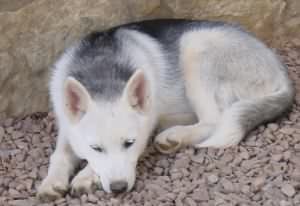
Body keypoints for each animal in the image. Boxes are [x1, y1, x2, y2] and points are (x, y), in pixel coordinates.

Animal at [37, 18, 292, 200]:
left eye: (130, 143)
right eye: (96, 147)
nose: (119, 188)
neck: (102, 71)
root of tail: (280, 70)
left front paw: (85, 175)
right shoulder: (66, 125)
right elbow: (60, 154)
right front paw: (52, 181)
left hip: (194, 47)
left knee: (214, 121)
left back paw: (174, 136)